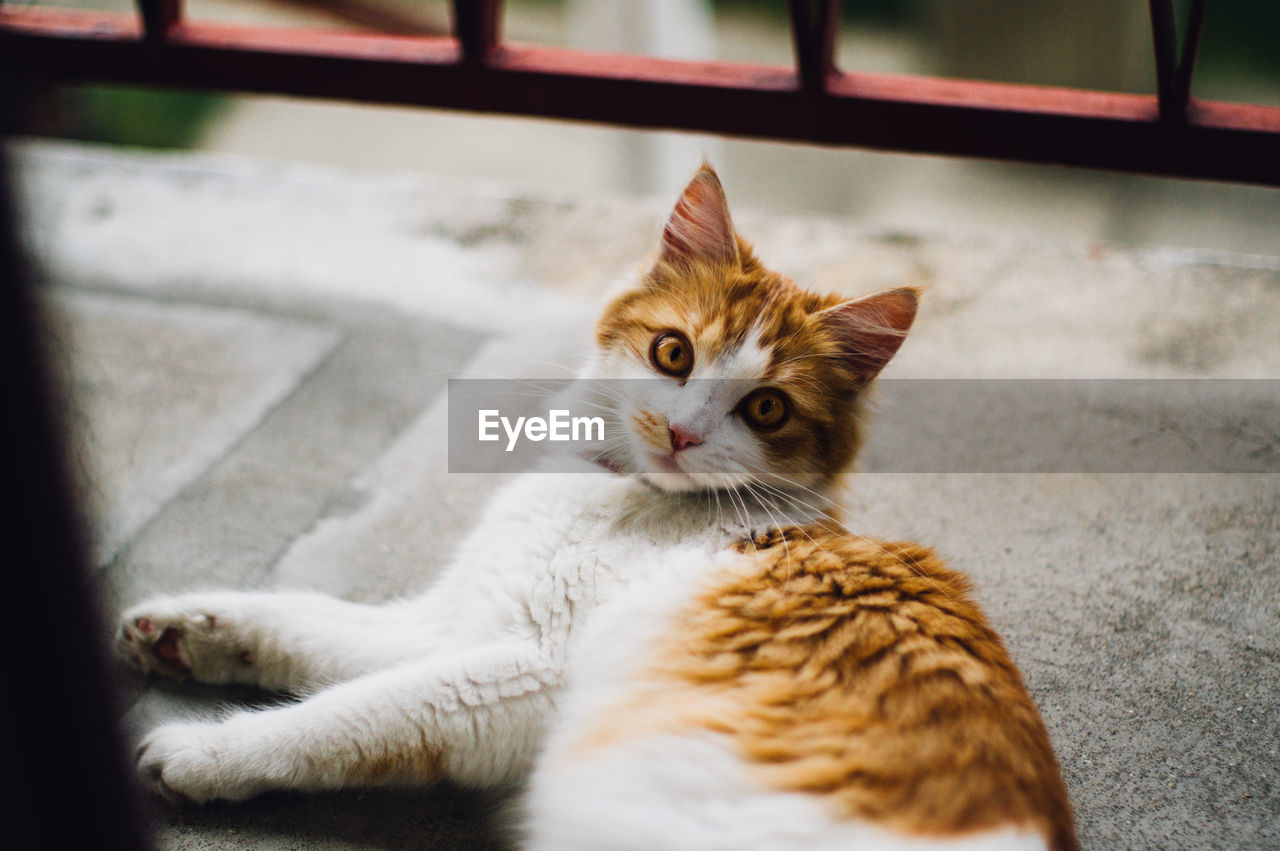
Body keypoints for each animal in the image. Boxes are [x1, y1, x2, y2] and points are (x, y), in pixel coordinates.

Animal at [122, 162, 1080, 844]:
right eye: (673, 353)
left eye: (766, 408)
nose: (681, 432)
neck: (614, 494)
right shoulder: (456, 620)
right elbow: (303, 623)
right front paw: (186, 630)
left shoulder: (516, 671)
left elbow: (342, 717)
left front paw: (207, 752)